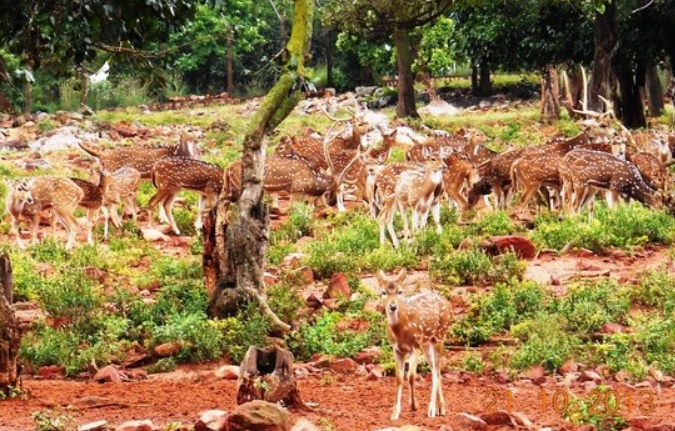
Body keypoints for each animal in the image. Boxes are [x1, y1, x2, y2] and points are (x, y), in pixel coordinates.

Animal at [378, 270, 452, 422]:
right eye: (383, 292)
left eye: (400, 291)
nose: (393, 306)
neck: (401, 331)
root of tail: (448, 304)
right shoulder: (396, 349)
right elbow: (399, 378)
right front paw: (395, 413)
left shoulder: (415, 346)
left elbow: (411, 376)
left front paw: (414, 405)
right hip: (427, 343)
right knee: (436, 369)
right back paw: (441, 408)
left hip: (440, 336)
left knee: (436, 371)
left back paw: (432, 410)